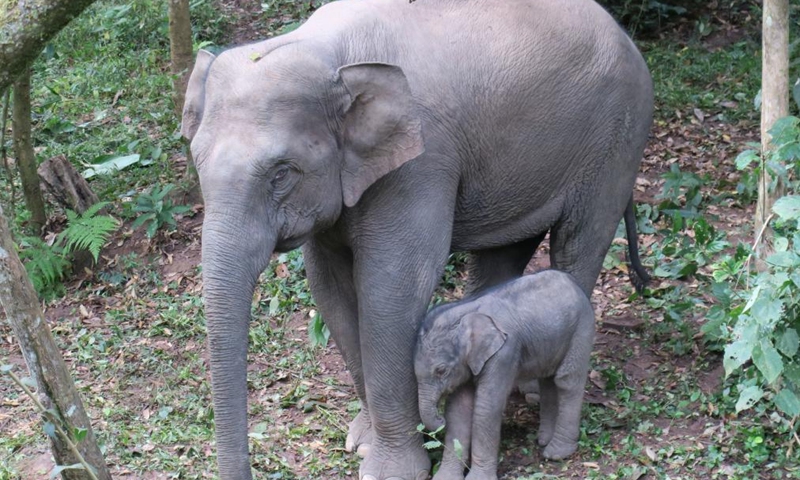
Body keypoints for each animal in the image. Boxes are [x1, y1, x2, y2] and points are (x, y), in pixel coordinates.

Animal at [414, 270, 596, 480]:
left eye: (441, 370)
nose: (439, 420)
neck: (466, 310)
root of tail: (571, 280)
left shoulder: (504, 352)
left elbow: (487, 407)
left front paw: (477, 479)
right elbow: (459, 409)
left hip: (582, 328)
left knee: (566, 380)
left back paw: (556, 453)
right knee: (548, 380)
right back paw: (544, 440)